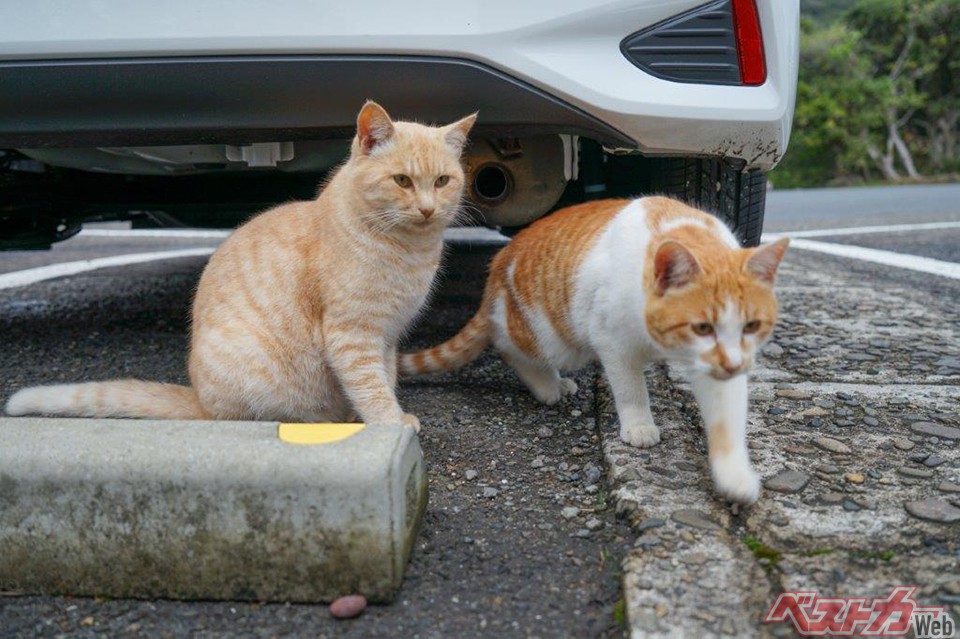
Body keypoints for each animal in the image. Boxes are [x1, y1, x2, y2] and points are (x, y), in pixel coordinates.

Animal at [3, 101, 476, 430]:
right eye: (402, 181)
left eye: (442, 181)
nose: (428, 208)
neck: (410, 252)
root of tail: (197, 398)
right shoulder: (353, 334)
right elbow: (370, 383)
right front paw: (388, 422)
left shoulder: (389, 337)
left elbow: (387, 376)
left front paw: (385, 414)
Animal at [402, 198, 792, 502]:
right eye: (702, 328)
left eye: (751, 326)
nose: (733, 363)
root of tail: (497, 268)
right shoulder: (612, 341)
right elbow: (630, 389)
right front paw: (639, 425)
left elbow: (727, 417)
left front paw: (734, 475)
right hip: (554, 336)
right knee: (507, 346)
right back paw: (547, 386)